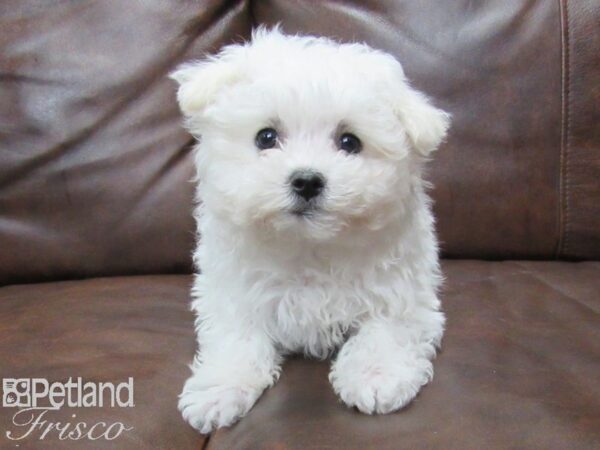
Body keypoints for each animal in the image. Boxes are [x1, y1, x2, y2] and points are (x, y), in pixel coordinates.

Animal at [171, 27, 448, 432]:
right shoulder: (233, 291)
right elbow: (237, 337)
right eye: (266, 137)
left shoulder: (403, 291)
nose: (306, 181)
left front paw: (375, 377)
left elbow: (387, 329)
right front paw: (219, 389)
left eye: (349, 142)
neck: (308, 245)